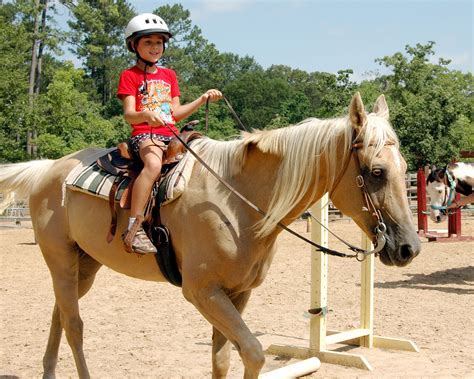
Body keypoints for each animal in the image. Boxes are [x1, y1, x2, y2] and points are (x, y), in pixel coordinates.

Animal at [0, 93, 422, 379]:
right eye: (377, 172)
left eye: (404, 168)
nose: (409, 248)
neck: (237, 200)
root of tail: (47, 169)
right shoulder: (202, 292)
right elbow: (253, 352)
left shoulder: (237, 293)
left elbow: (222, 359)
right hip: (60, 259)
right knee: (74, 326)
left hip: (84, 266)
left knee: (60, 314)